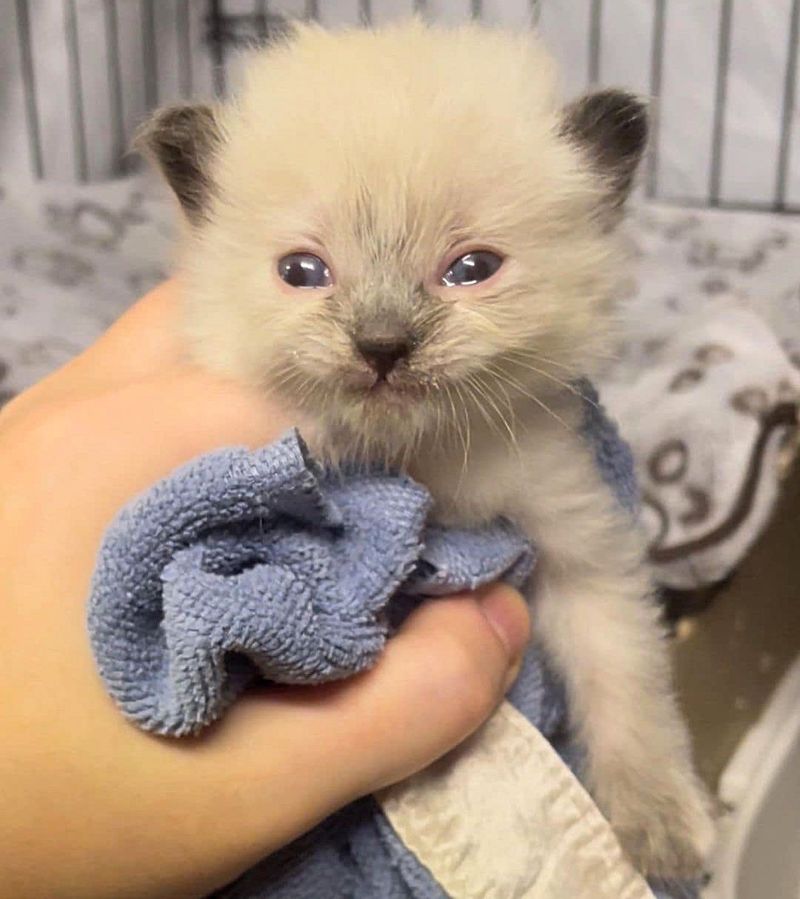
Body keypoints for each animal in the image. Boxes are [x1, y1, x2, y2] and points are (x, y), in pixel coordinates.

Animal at [138, 21, 712, 880]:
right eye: (301, 271)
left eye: (471, 269)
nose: (381, 345)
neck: (423, 459)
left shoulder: (574, 546)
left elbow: (624, 678)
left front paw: (660, 824)